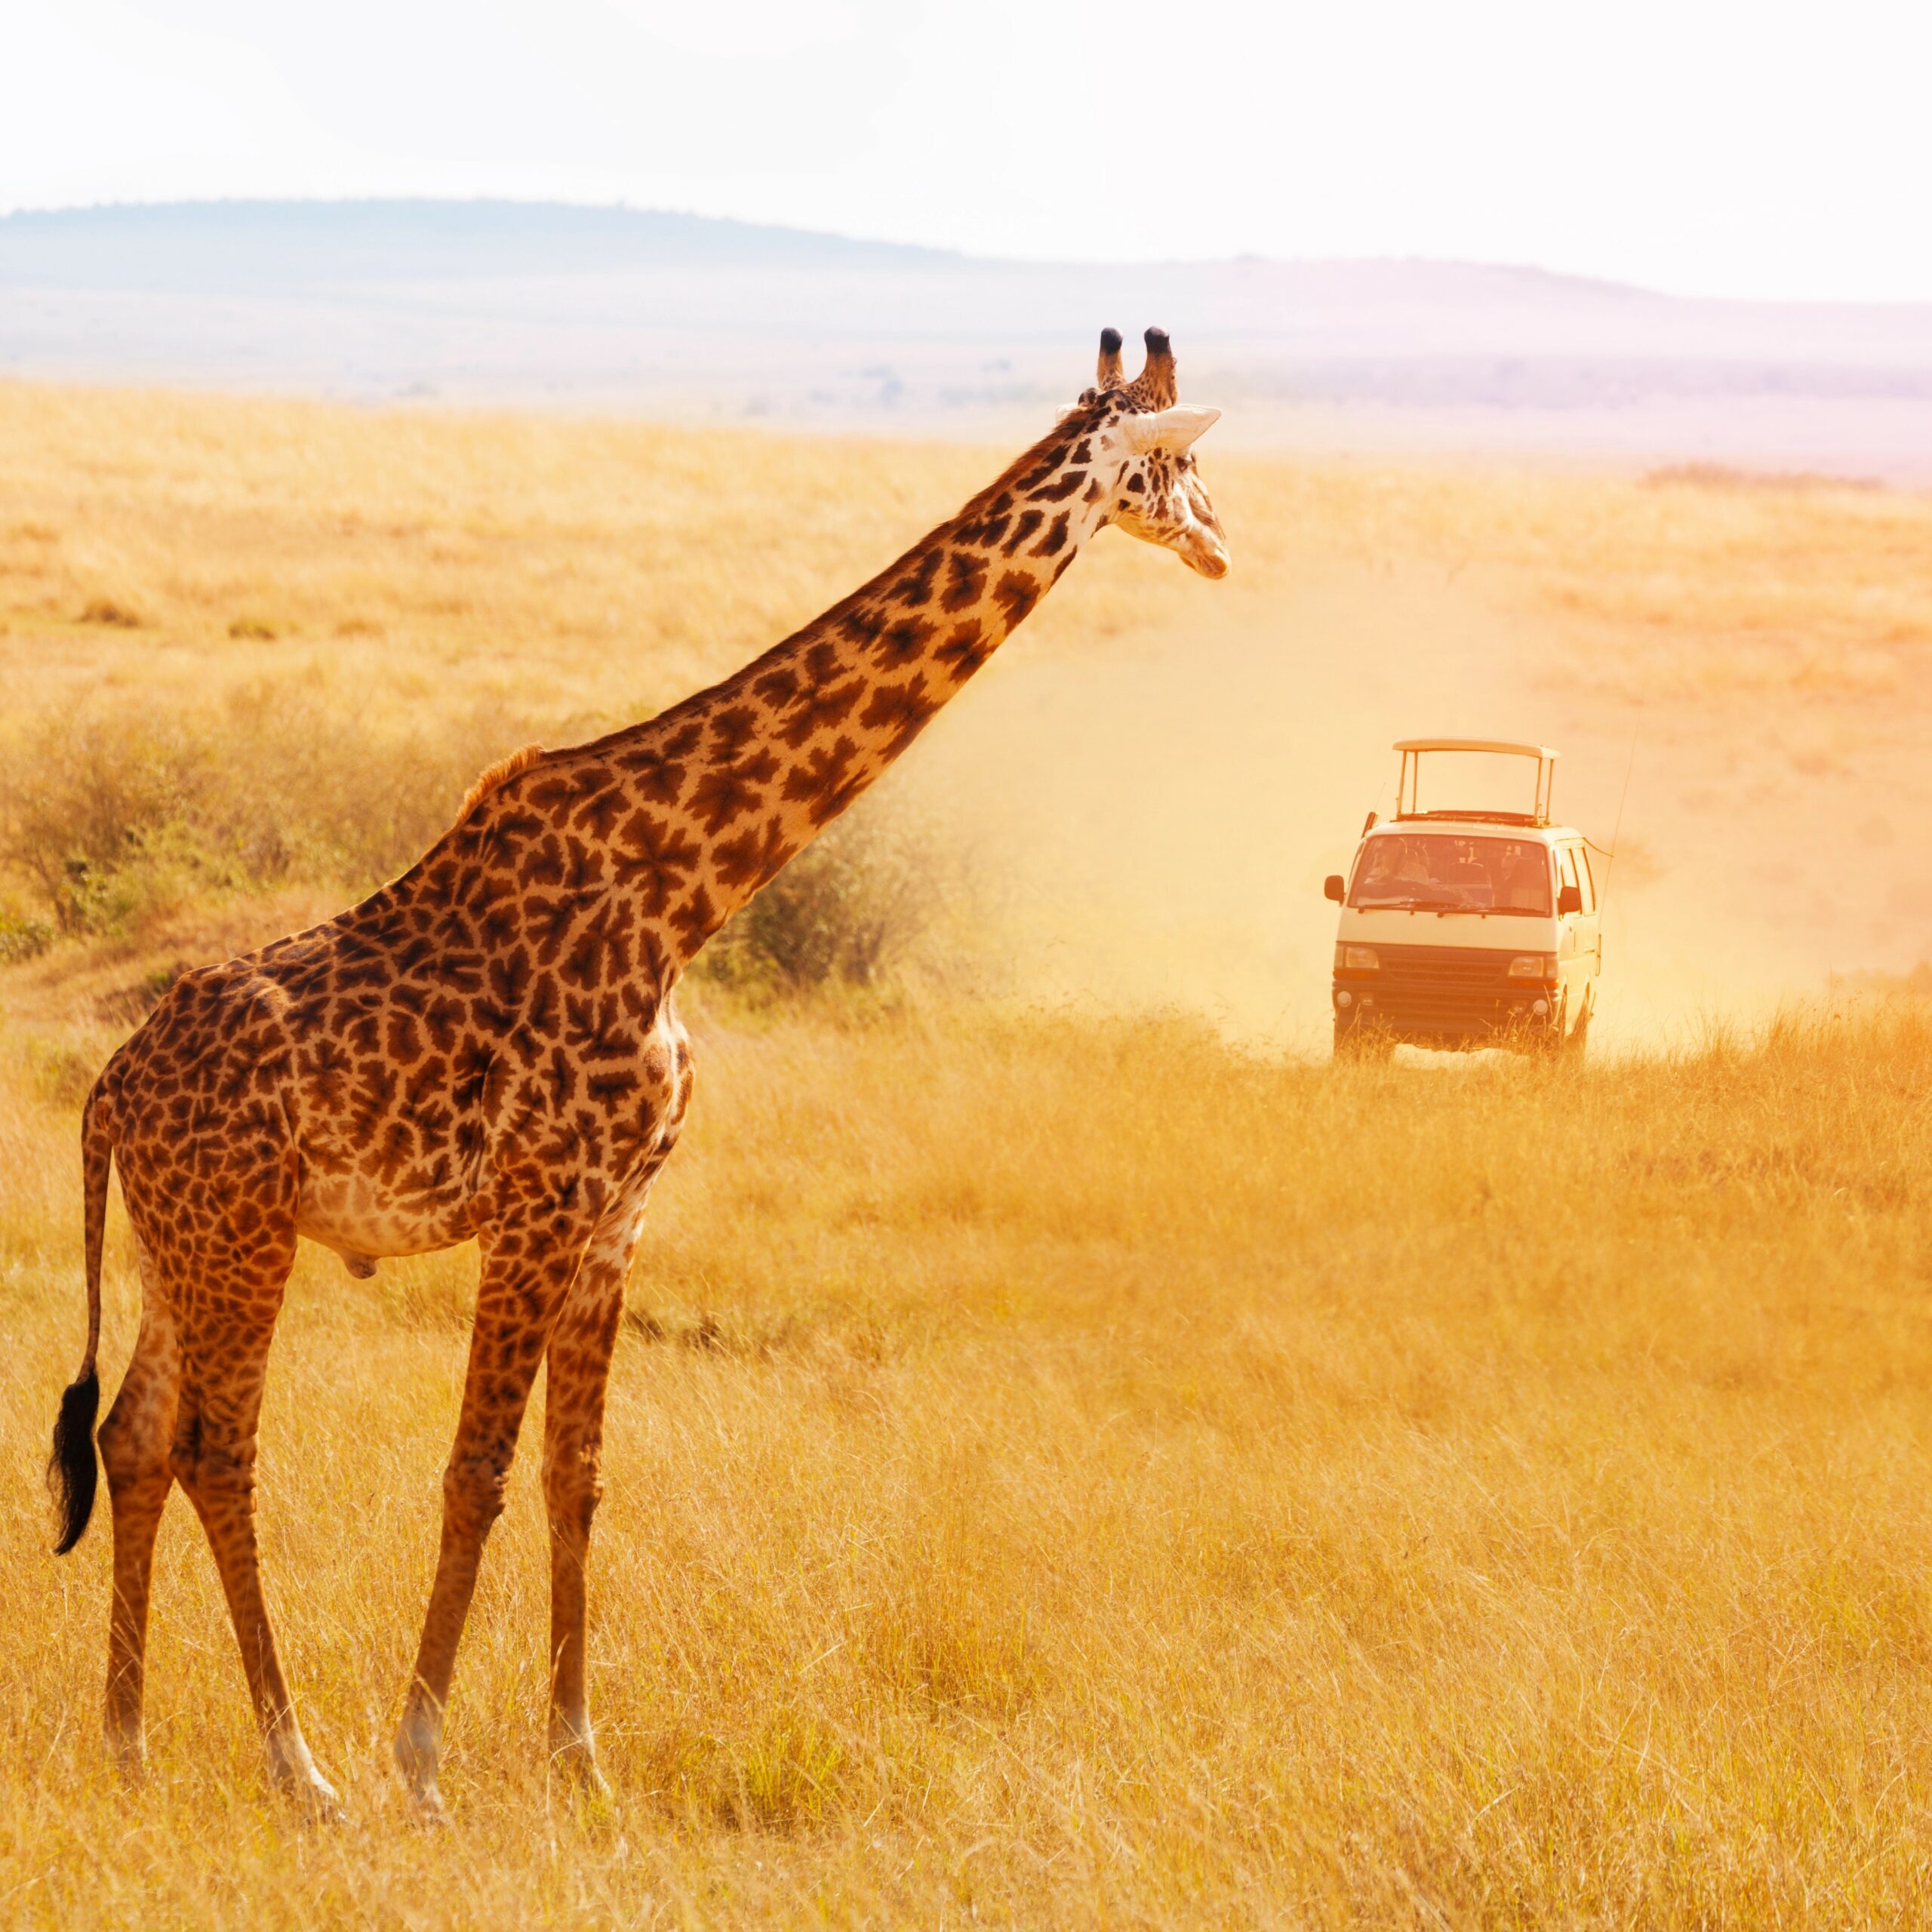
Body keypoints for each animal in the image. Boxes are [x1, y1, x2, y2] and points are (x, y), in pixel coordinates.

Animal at [48, 325, 1236, 1816]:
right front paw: (421, 1766)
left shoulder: (619, 1212)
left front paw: (580, 1755)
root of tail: (108, 1092)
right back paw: (298, 1765)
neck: (685, 888)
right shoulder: (539, 1199)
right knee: (217, 1447)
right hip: (244, 1235)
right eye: (1180, 463)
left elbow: (578, 1480)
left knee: (132, 1437)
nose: (1225, 546)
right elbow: (477, 1472)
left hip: (178, 1242)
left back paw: (128, 1743)